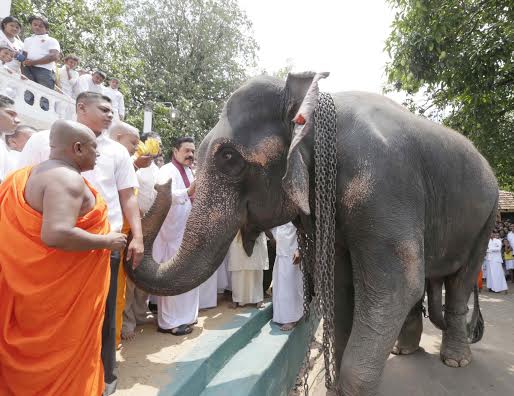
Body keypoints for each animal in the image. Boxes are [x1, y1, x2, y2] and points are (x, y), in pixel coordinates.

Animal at [124, 72, 496, 396]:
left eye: (229, 157)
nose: (163, 183)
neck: (316, 107)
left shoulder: (384, 182)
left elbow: (395, 283)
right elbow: (342, 283)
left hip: (486, 218)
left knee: (459, 282)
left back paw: (455, 360)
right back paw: (403, 351)